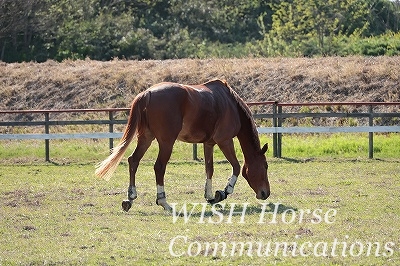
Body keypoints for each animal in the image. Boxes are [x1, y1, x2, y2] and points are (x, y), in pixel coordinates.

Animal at [95, 78, 270, 212]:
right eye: (265, 166)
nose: (266, 193)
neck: (230, 105)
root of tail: (148, 93)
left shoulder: (209, 144)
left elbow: (209, 168)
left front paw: (210, 196)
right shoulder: (225, 141)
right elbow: (236, 167)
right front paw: (224, 192)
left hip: (146, 138)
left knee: (133, 161)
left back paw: (130, 198)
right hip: (166, 143)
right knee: (159, 167)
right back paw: (164, 202)